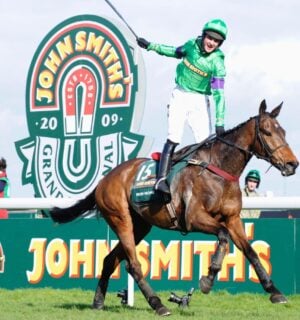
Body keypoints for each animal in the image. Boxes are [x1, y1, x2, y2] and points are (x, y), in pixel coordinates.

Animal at [48, 100, 298, 316]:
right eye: (267, 132)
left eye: (284, 132)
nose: (292, 164)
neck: (218, 169)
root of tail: (104, 179)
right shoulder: (195, 218)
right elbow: (223, 236)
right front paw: (208, 279)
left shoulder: (233, 218)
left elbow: (250, 252)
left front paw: (274, 291)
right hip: (121, 219)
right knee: (133, 265)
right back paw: (158, 304)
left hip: (140, 226)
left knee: (111, 260)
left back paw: (98, 302)